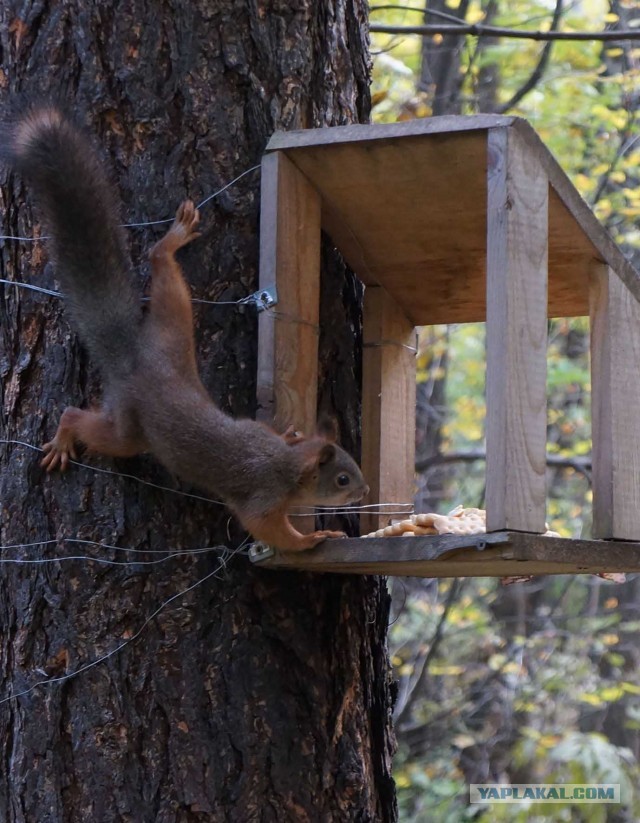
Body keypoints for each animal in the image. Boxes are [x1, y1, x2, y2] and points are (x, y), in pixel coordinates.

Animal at [5, 108, 368, 548]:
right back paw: (63, 435)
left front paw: (292, 433)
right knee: (87, 421)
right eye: (343, 478)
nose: (366, 491)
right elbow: (267, 528)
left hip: (173, 332)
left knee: (163, 271)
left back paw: (170, 243)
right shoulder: (263, 497)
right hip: (129, 426)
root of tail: (138, 363)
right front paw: (314, 538)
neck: (287, 465)